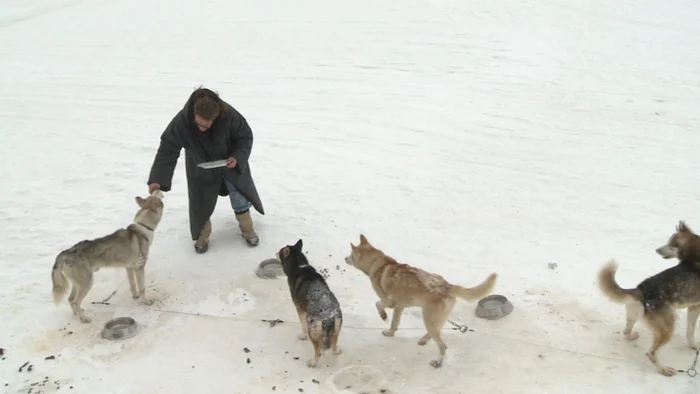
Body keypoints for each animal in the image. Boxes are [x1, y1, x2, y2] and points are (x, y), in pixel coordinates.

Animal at [51, 190, 165, 324]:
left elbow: (132, 285)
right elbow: (142, 288)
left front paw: (135, 296)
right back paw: (84, 318)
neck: (143, 227)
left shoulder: (129, 268)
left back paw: (77, 314)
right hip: (86, 283)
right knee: (75, 302)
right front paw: (146, 301)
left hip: (77, 283)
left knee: (70, 299)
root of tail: (64, 253)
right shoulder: (139, 268)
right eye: (156, 197)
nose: (159, 190)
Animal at [344, 234, 498, 366]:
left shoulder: (390, 302)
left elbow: (378, 304)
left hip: (429, 318)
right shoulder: (400, 306)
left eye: (351, 255)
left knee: (442, 345)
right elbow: (394, 323)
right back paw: (424, 340)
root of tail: (447, 286)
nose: (345, 259)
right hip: (436, 318)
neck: (377, 263)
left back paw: (438, 362)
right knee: (435, 332)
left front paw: (384, 317)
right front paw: (390, 332)